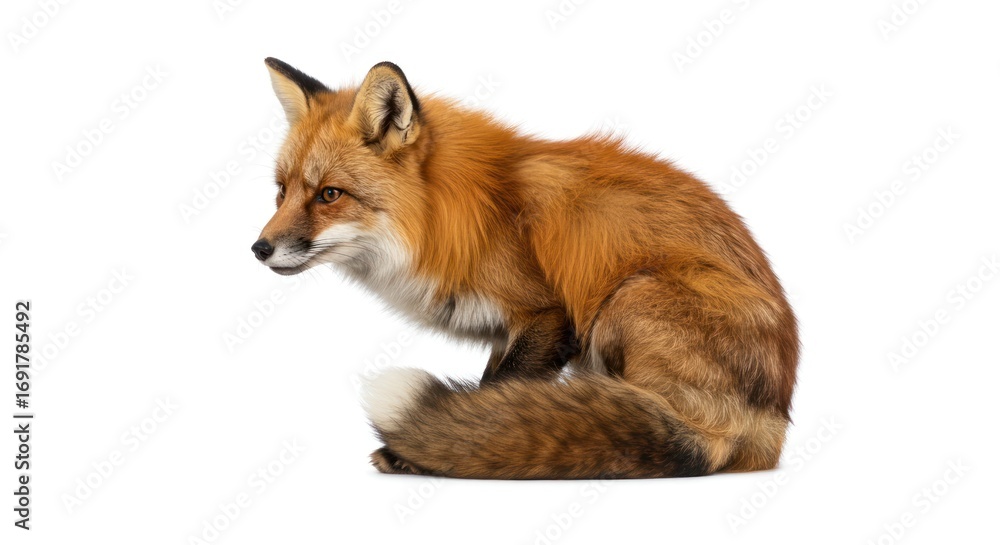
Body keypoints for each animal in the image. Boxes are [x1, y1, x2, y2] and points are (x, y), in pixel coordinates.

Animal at [251, 57, 799, 479]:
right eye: (282, 191)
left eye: (329, 194)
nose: (259, 248)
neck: (455, 217)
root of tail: (771, 419)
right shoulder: (505, 331)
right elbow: (492, 390)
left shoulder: (548, 315)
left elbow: (497, 392)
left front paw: (433, 451)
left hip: (628, 297)